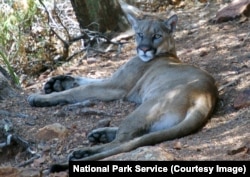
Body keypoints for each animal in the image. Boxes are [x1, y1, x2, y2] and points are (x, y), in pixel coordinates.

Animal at [27, 0, 217, 171]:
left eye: (157, 36)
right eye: (140, 34)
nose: (144, 49)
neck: (168, 54)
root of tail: (206, 98)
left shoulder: (115, 87)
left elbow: (81, 89)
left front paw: (39, 97)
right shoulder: (113, 81)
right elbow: (87, 79)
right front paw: (57, 82)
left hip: (146, 109)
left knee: (122, 142)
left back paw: (83, 152)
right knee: (136, 136)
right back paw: (99, 134)